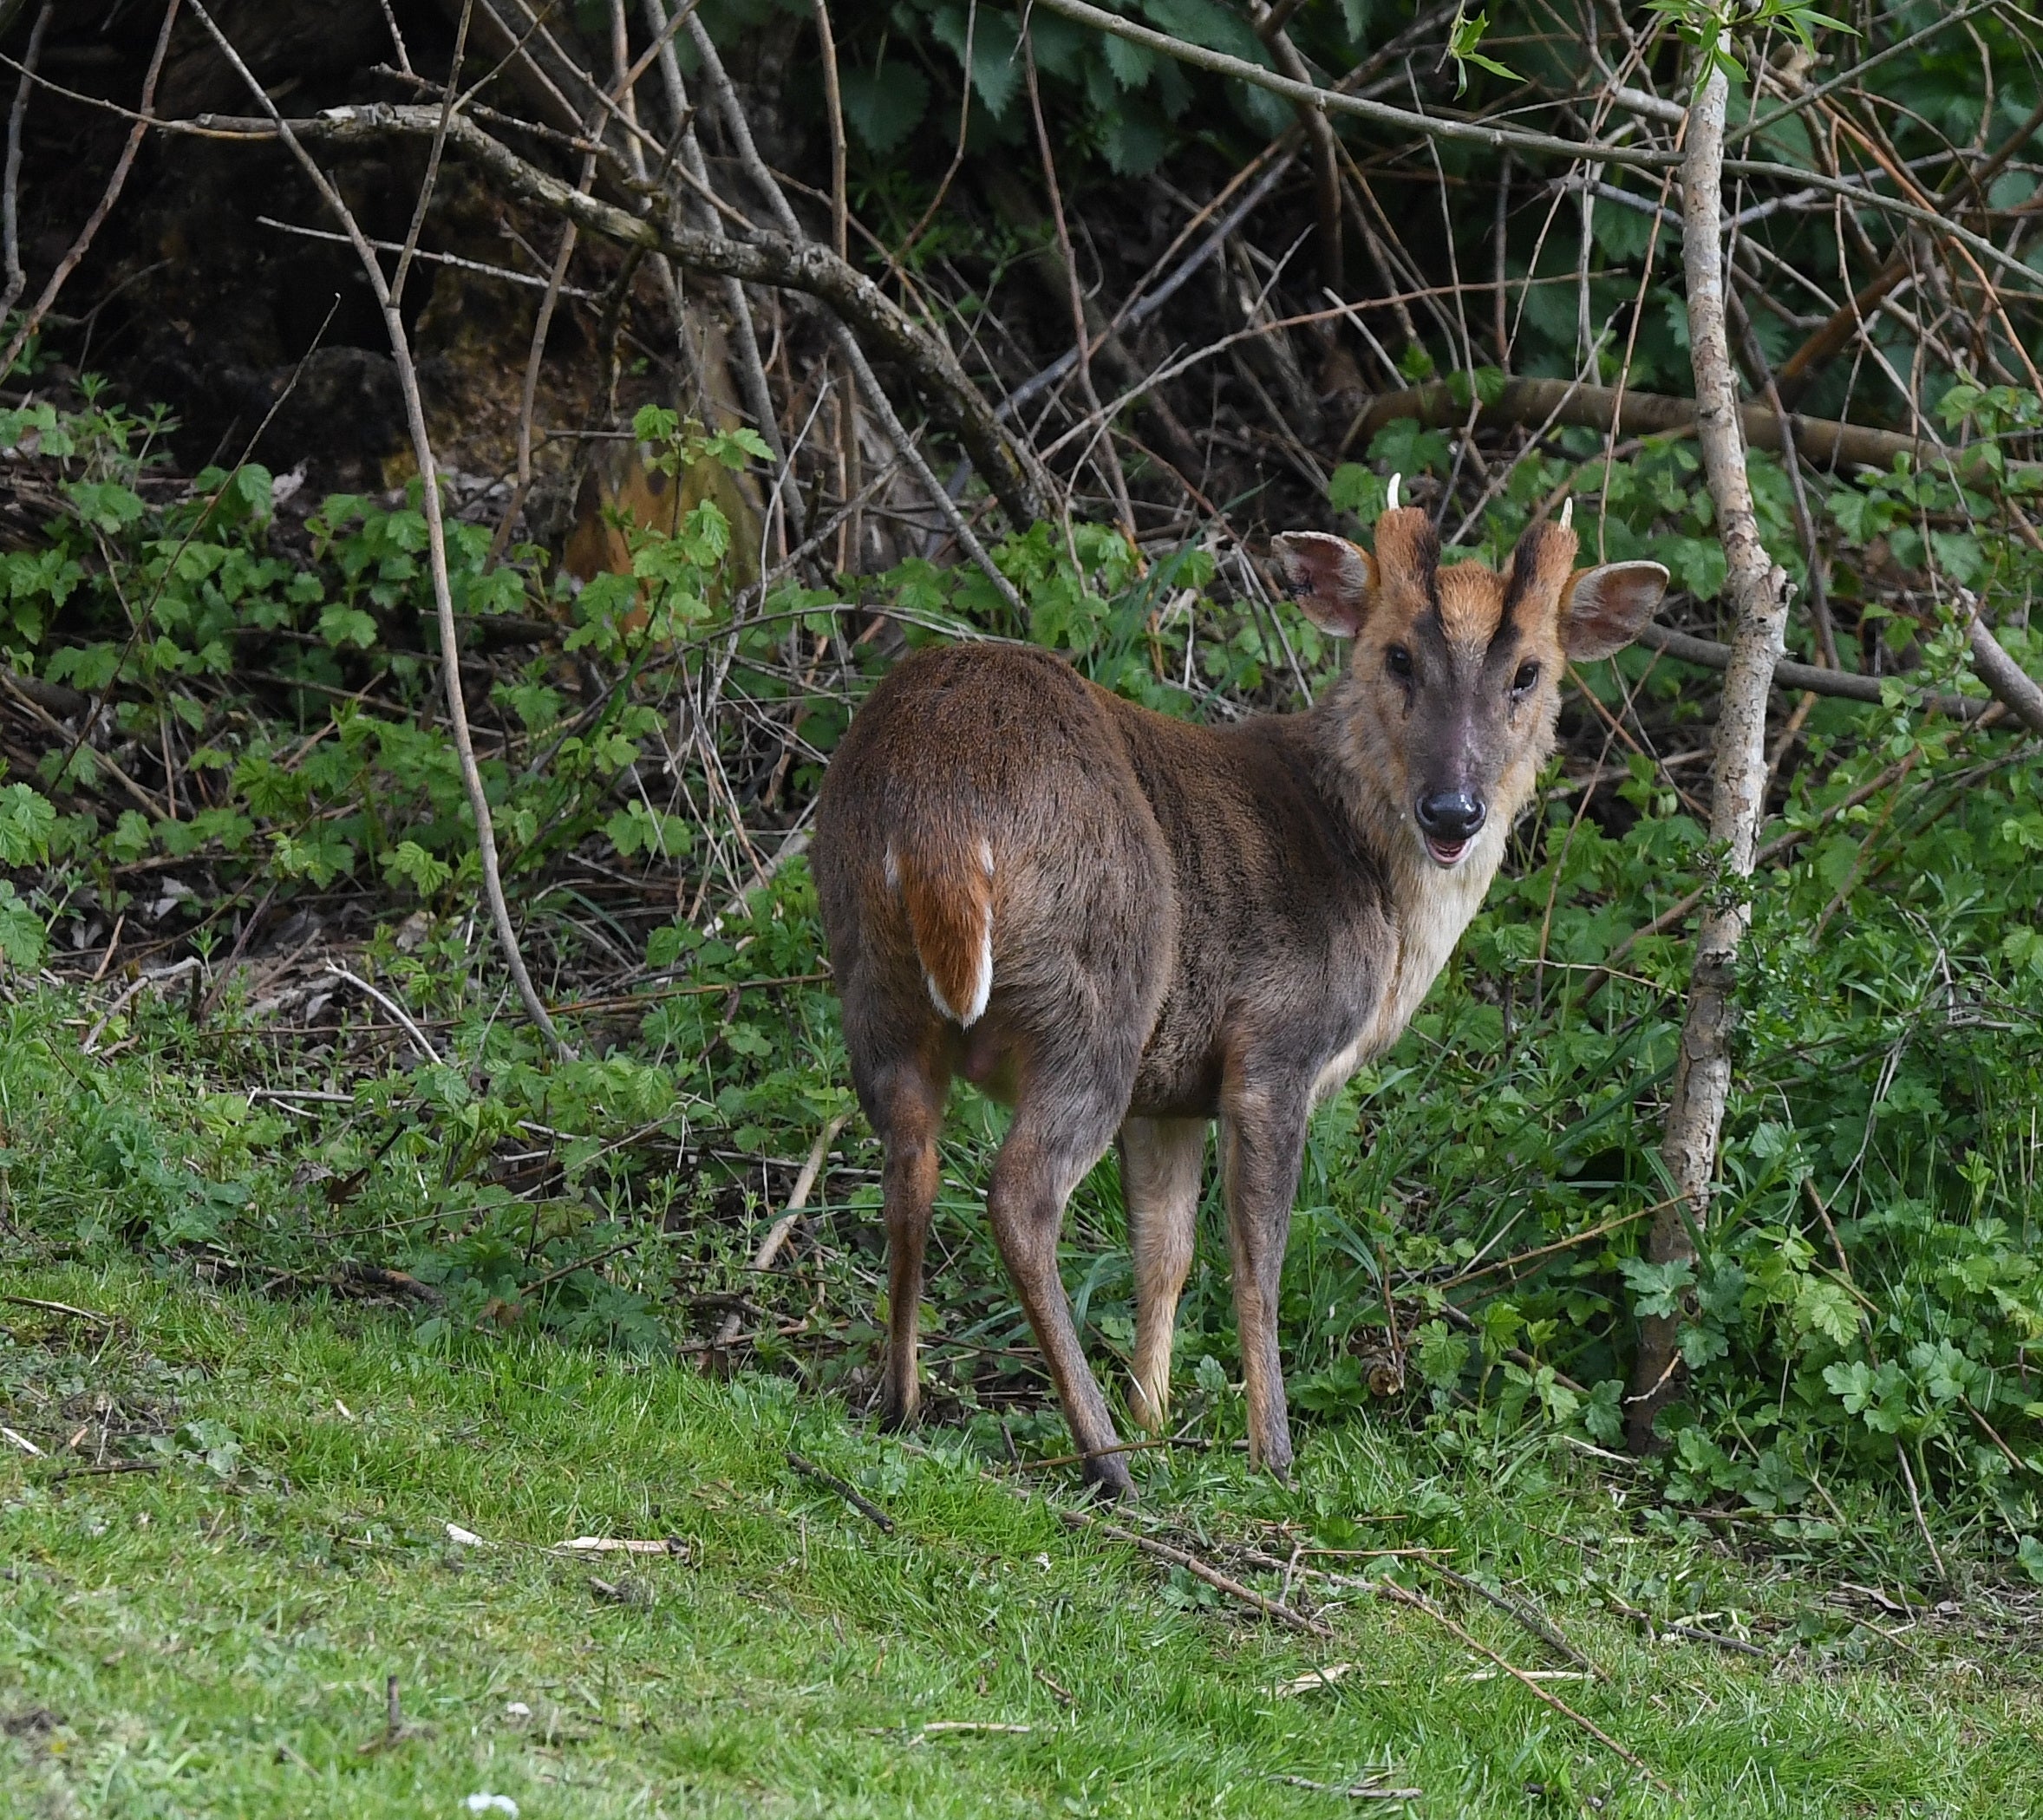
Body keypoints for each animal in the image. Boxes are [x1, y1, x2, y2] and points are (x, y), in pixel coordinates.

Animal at [811, 486, 1668, 1495]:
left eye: (1530, 671)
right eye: (1396, 654)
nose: (1454, 810)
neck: (1373, 889)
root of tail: (940, 817)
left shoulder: (1170, 1088)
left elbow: (1165, 1248)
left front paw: (1159, 1413)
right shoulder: (1273, 1045)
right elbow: (1258, 1257)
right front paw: (1271, 1452)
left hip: (870, 971)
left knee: (910, 1156)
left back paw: (905, 1402)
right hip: (1099, 989)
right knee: (1021, 1193)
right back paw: (1105, 1459)